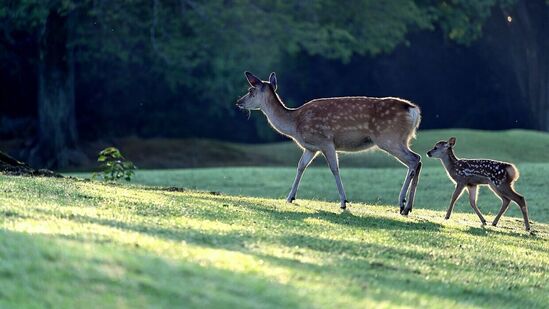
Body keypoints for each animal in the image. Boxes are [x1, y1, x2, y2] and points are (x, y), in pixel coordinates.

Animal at [234, 70, 420, 213]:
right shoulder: (311, 148)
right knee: (418, 159)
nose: (238, 102)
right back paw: (408, 207)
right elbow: (300, 166)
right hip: (401, 139)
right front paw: (290, 197)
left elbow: (334, 168)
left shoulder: (326, 141)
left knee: (414, 159)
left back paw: (402, 203)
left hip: (388, 138)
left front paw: (344, 202)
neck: (295, 124)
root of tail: (413, 110)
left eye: (250, 90)